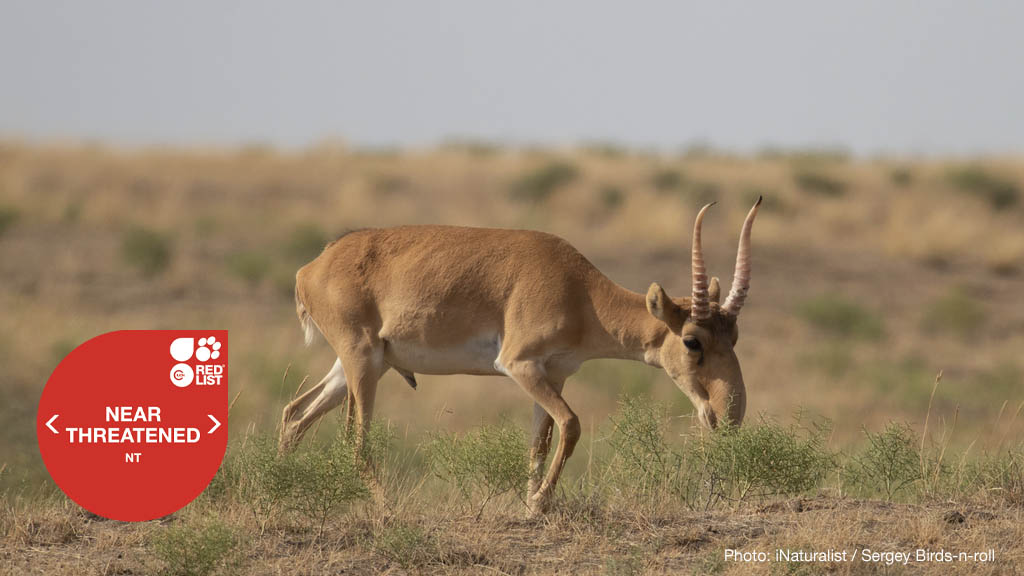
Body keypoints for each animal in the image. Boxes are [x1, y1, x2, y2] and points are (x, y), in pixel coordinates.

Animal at [280, 198, 761, 514]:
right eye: (693, 341)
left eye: (734, 334)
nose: (728, 414)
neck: (578, 288)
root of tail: (309, 269)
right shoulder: (519, 366)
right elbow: (571, 425)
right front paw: (539, 504)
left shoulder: (554, 374)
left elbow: (539, 441)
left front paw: (529, 504)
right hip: (362, 363)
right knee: (355, 441)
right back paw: (389, 511)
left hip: (359, 366)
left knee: (294, 413)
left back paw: (283, 494)